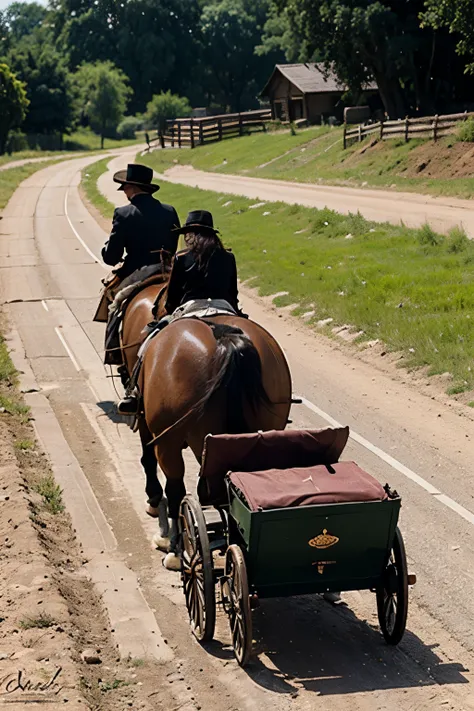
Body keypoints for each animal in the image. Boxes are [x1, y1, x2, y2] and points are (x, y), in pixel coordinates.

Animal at [133, 314, 292, 572]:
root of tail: (226, 339)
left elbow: (149, 462)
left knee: (176, 490)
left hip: (169, 442)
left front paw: (155, 505)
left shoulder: (149, 425)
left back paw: (176, 549)